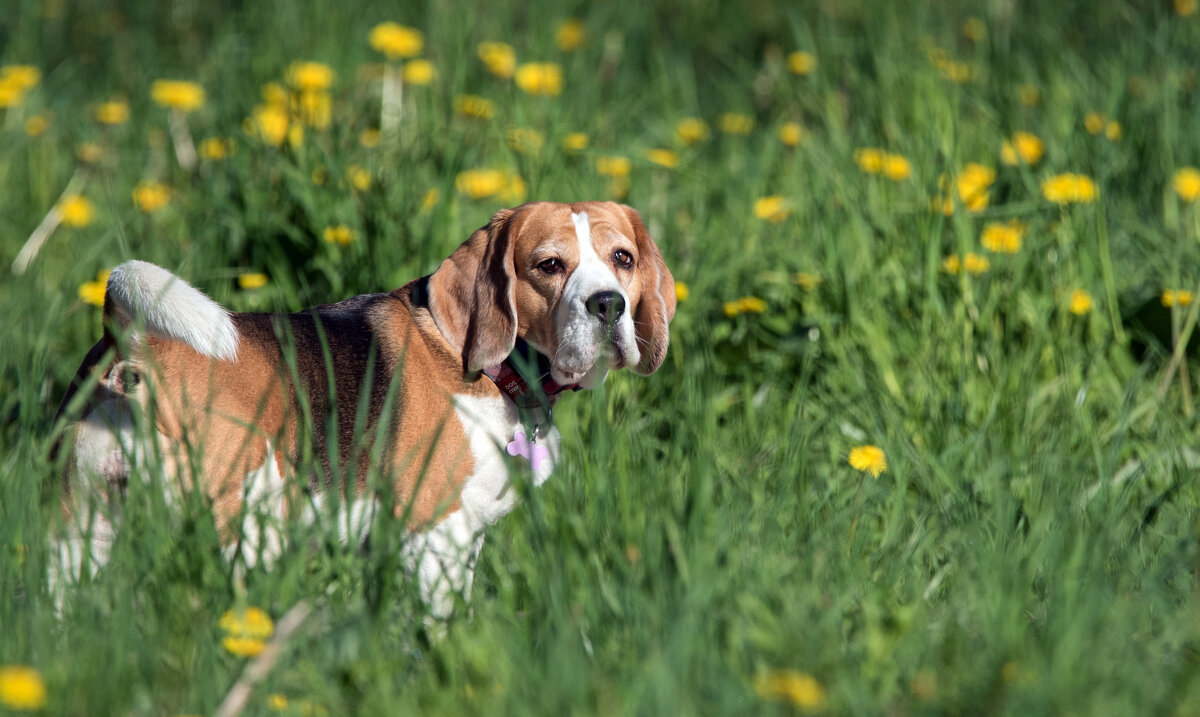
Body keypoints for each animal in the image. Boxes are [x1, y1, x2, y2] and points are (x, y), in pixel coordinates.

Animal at [54, 201, 676, 618]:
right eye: (548, 265)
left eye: (622, 258)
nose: (608, 304)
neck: (486, 369)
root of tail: (137, 343)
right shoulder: (435, 534)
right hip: (243, 529)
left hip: (82, 530)